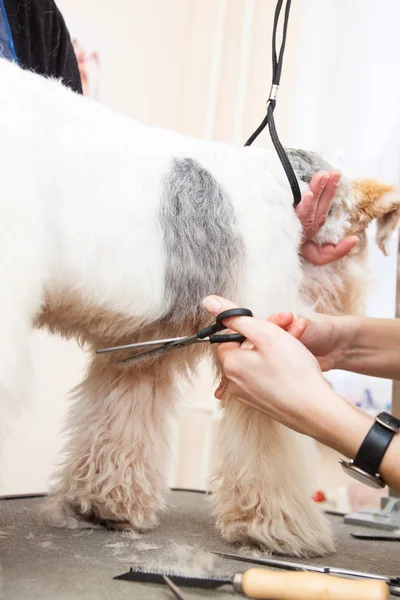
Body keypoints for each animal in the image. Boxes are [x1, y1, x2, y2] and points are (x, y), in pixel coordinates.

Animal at [3, 58, 400, 556]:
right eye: (358, 241)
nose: (353, 301)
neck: (280, 180)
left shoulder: (140, 349)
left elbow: (119, 426)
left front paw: (105, 505)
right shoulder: (257, 321)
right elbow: (271, 444)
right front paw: (281, 529)